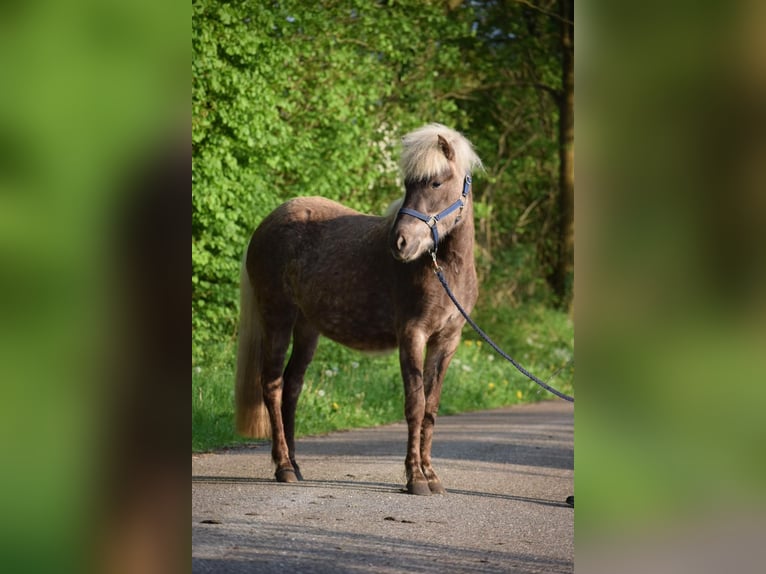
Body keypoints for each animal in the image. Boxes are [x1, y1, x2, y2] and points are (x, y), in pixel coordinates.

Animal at [237, 124, 484, 498]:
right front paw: (415, 478)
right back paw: (283, 467)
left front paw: (431, 475)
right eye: (408, 184)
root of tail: (267, 223)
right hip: (277, 318)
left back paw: (295, 465)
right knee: (273, 386)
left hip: (307, 328)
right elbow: (415, 405)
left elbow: (431, 408)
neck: (443, 270)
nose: (401, 242)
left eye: (435, 183)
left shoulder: (447, 341)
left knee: (292, 388)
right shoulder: (412, 335)